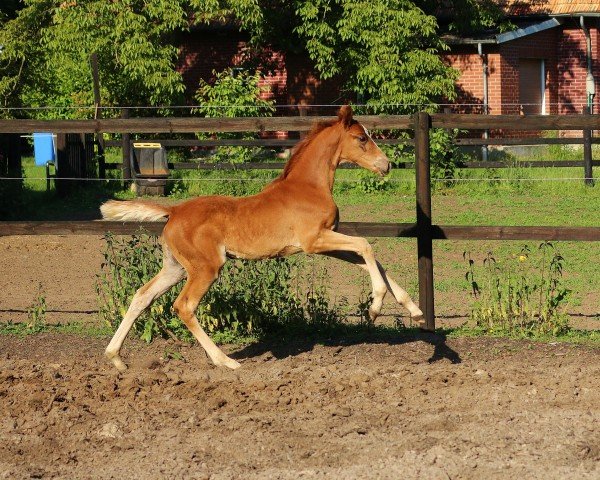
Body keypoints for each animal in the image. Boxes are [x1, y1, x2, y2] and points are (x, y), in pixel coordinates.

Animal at [101, 107, 424, 374]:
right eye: (361, 138)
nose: (387, 165)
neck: (308, 186)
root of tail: (174, 210)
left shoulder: (326, 244)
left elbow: (370, 259)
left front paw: (415, 311)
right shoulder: (314, 240)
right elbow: (366, 246)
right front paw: (375, 306)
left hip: (176, 267)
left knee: (142, 295)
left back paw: (116, 357)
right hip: (205, 268)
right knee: (184, 306)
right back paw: (225, 361)